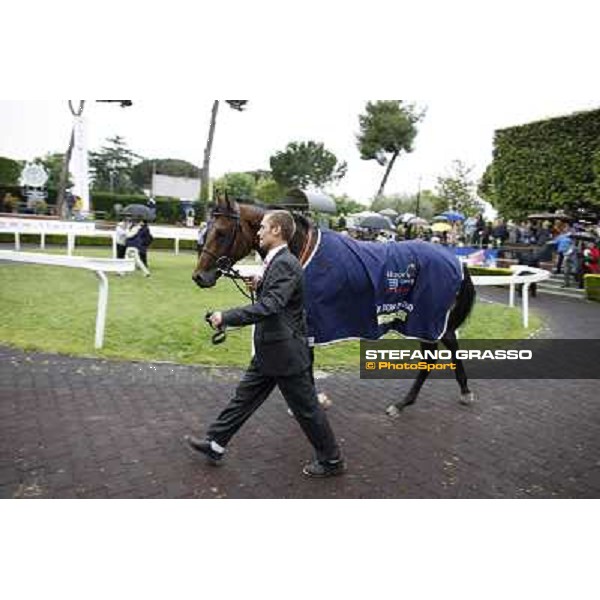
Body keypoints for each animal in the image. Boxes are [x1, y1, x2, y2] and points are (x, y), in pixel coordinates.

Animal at [193, 197, 478, 418]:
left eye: (221, 232)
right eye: (206, 231)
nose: (199, 277)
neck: (302, 250)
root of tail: (455, 259)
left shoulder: (309, 324)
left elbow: (306, 363)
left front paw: (313, 401)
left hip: (425, 318)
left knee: (430, 358)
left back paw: (402, 404)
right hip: (434, 319)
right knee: (451, 344)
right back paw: (464, 392)